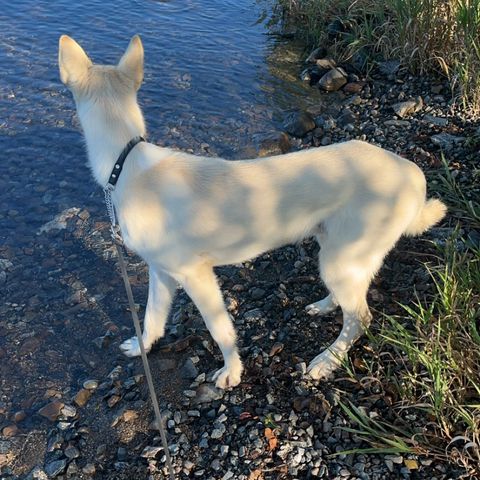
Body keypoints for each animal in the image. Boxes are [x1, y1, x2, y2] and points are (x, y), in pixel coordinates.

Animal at [59, 35, 446, 388]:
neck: (125, 161)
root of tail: (412, 172)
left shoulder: (196, 275)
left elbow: (220, 330)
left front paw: (232, 372)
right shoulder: (162, 272)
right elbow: (152, 316)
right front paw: (142, 346)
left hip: (343, 255)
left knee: (360, 318)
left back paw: (327, 360)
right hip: (336, 251)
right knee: (349, 298)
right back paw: (325, 305)